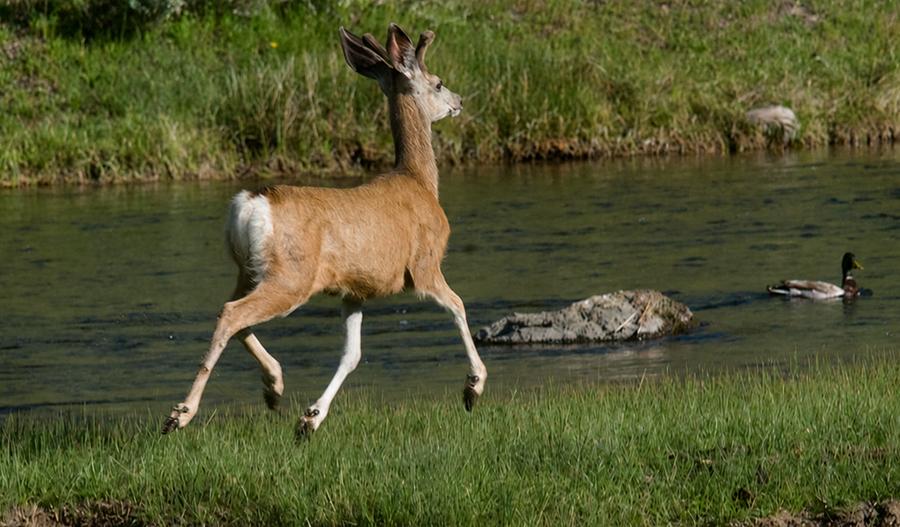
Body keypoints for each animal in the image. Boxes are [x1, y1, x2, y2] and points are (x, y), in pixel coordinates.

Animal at [162, 23, 487, 437]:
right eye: (439, 83)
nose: (459, 100)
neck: (420, 182)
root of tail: (252, 203)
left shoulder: (355, 290)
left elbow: (352, 355)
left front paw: (311, 418)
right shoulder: (423, 266)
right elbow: (459, 305)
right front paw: (473, 387)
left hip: (249, 271)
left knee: (227, 311)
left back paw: (274, 387)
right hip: (291, 276)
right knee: (232, 314)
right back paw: (181, 413)